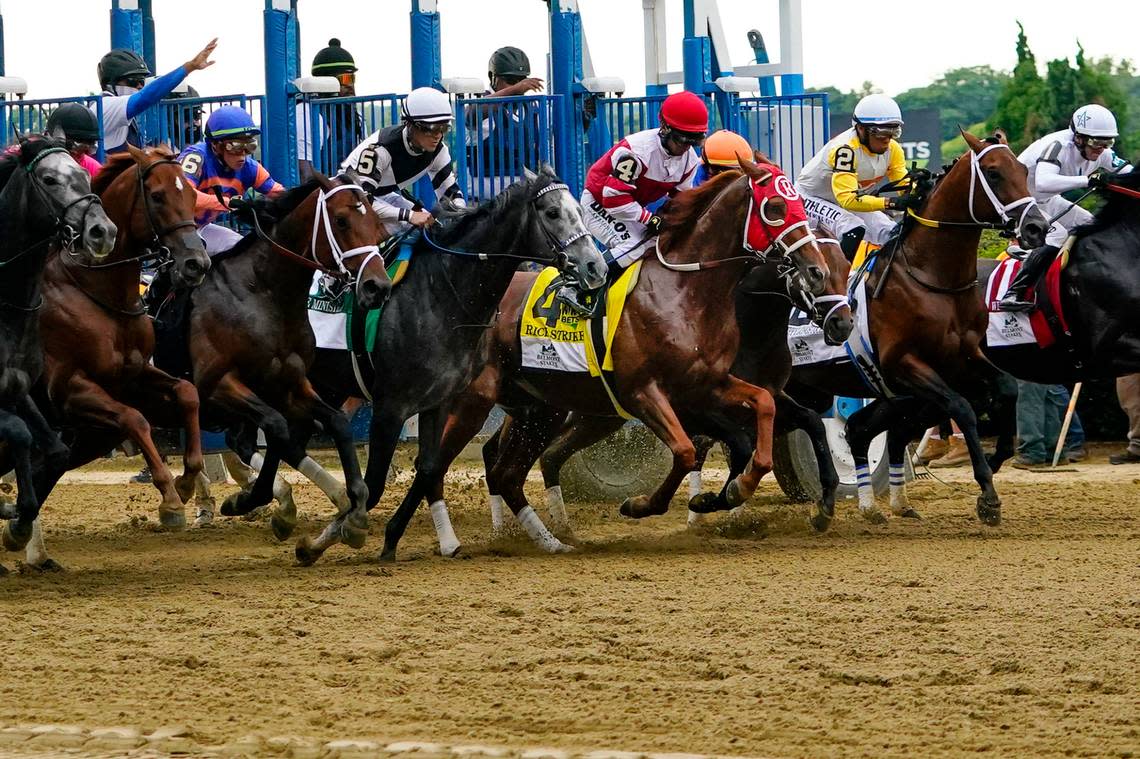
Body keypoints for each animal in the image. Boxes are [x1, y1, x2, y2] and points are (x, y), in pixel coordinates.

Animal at [0, 139, 116, 558]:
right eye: (49, 179)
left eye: (84, 173)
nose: (102, 231)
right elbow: (19, 433)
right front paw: (13, 514)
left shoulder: (19, 388)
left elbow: (55, 450)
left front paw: (19, 521)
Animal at [165, 174, 389, 535]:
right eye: (341, 220)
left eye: (377, 224)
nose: (377, 287)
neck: (262, 294)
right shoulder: (216, 384)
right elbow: (277, 427)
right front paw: (251, 500)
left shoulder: (289, 384)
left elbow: (334, 424)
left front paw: (353, 502)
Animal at [291, 164, 615, 560]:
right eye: (552, 213)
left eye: (580, 211)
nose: (595, 267)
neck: (438, 294)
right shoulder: (391, 406)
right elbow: (375, 483)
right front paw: (328, 538)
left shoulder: (439, 401)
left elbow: (429, 467)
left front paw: (393, 539)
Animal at [360, 158, 843, 560]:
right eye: (776, 207)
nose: (815, 272)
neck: (685, 293)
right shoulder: (645, 394)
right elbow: (687, 451)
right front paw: (644, 504)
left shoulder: (706, 387)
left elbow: (762, 415)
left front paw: (735, 492)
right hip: (473, 402)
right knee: (438, 466)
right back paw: (435, 540)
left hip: (540, 409)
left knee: (507, 472)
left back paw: (549, 540)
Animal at [788, 129, 1044, 524]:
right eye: (993, 172)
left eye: (1023, 169)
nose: (1037, 227)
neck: (931, 277)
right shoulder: (904, 364)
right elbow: (962, 408)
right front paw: (987, 494)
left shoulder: (962, 357)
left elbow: (1007, 388)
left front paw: (998, 457)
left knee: (857, 430)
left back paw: (873, 506)